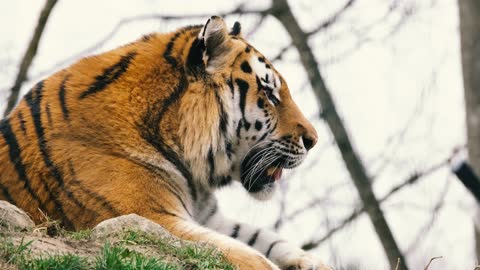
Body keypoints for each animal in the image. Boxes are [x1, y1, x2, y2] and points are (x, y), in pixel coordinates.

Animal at [0, 15, 330, 268]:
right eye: (270, 95)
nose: (313, 140)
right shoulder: (150, 216)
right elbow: (251, 256)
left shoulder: (208, 216)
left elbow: (267, 240)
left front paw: (313, 261)